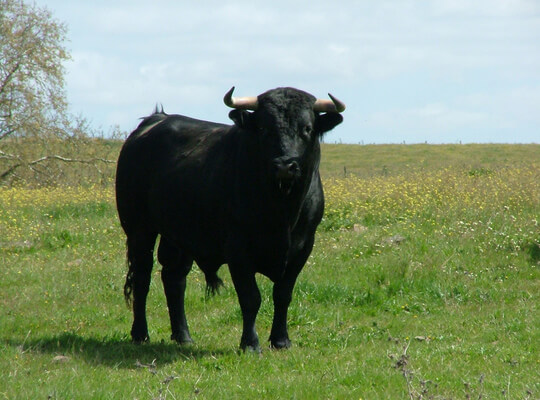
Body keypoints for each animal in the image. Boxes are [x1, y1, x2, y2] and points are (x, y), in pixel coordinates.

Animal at [117, 86, 346, 350]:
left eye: (307, 128)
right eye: (263, 128)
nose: (284, 166)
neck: (282, 211)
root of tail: (155, 120)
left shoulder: (303, 247)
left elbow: (283, 294)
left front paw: (281, 340)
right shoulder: (238, 248)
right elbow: (250, 297)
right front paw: (250, 343)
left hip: (179, 234)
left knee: (174, 278)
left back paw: (183, 335)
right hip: (138, 229)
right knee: (142, 278)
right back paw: (140, 333)